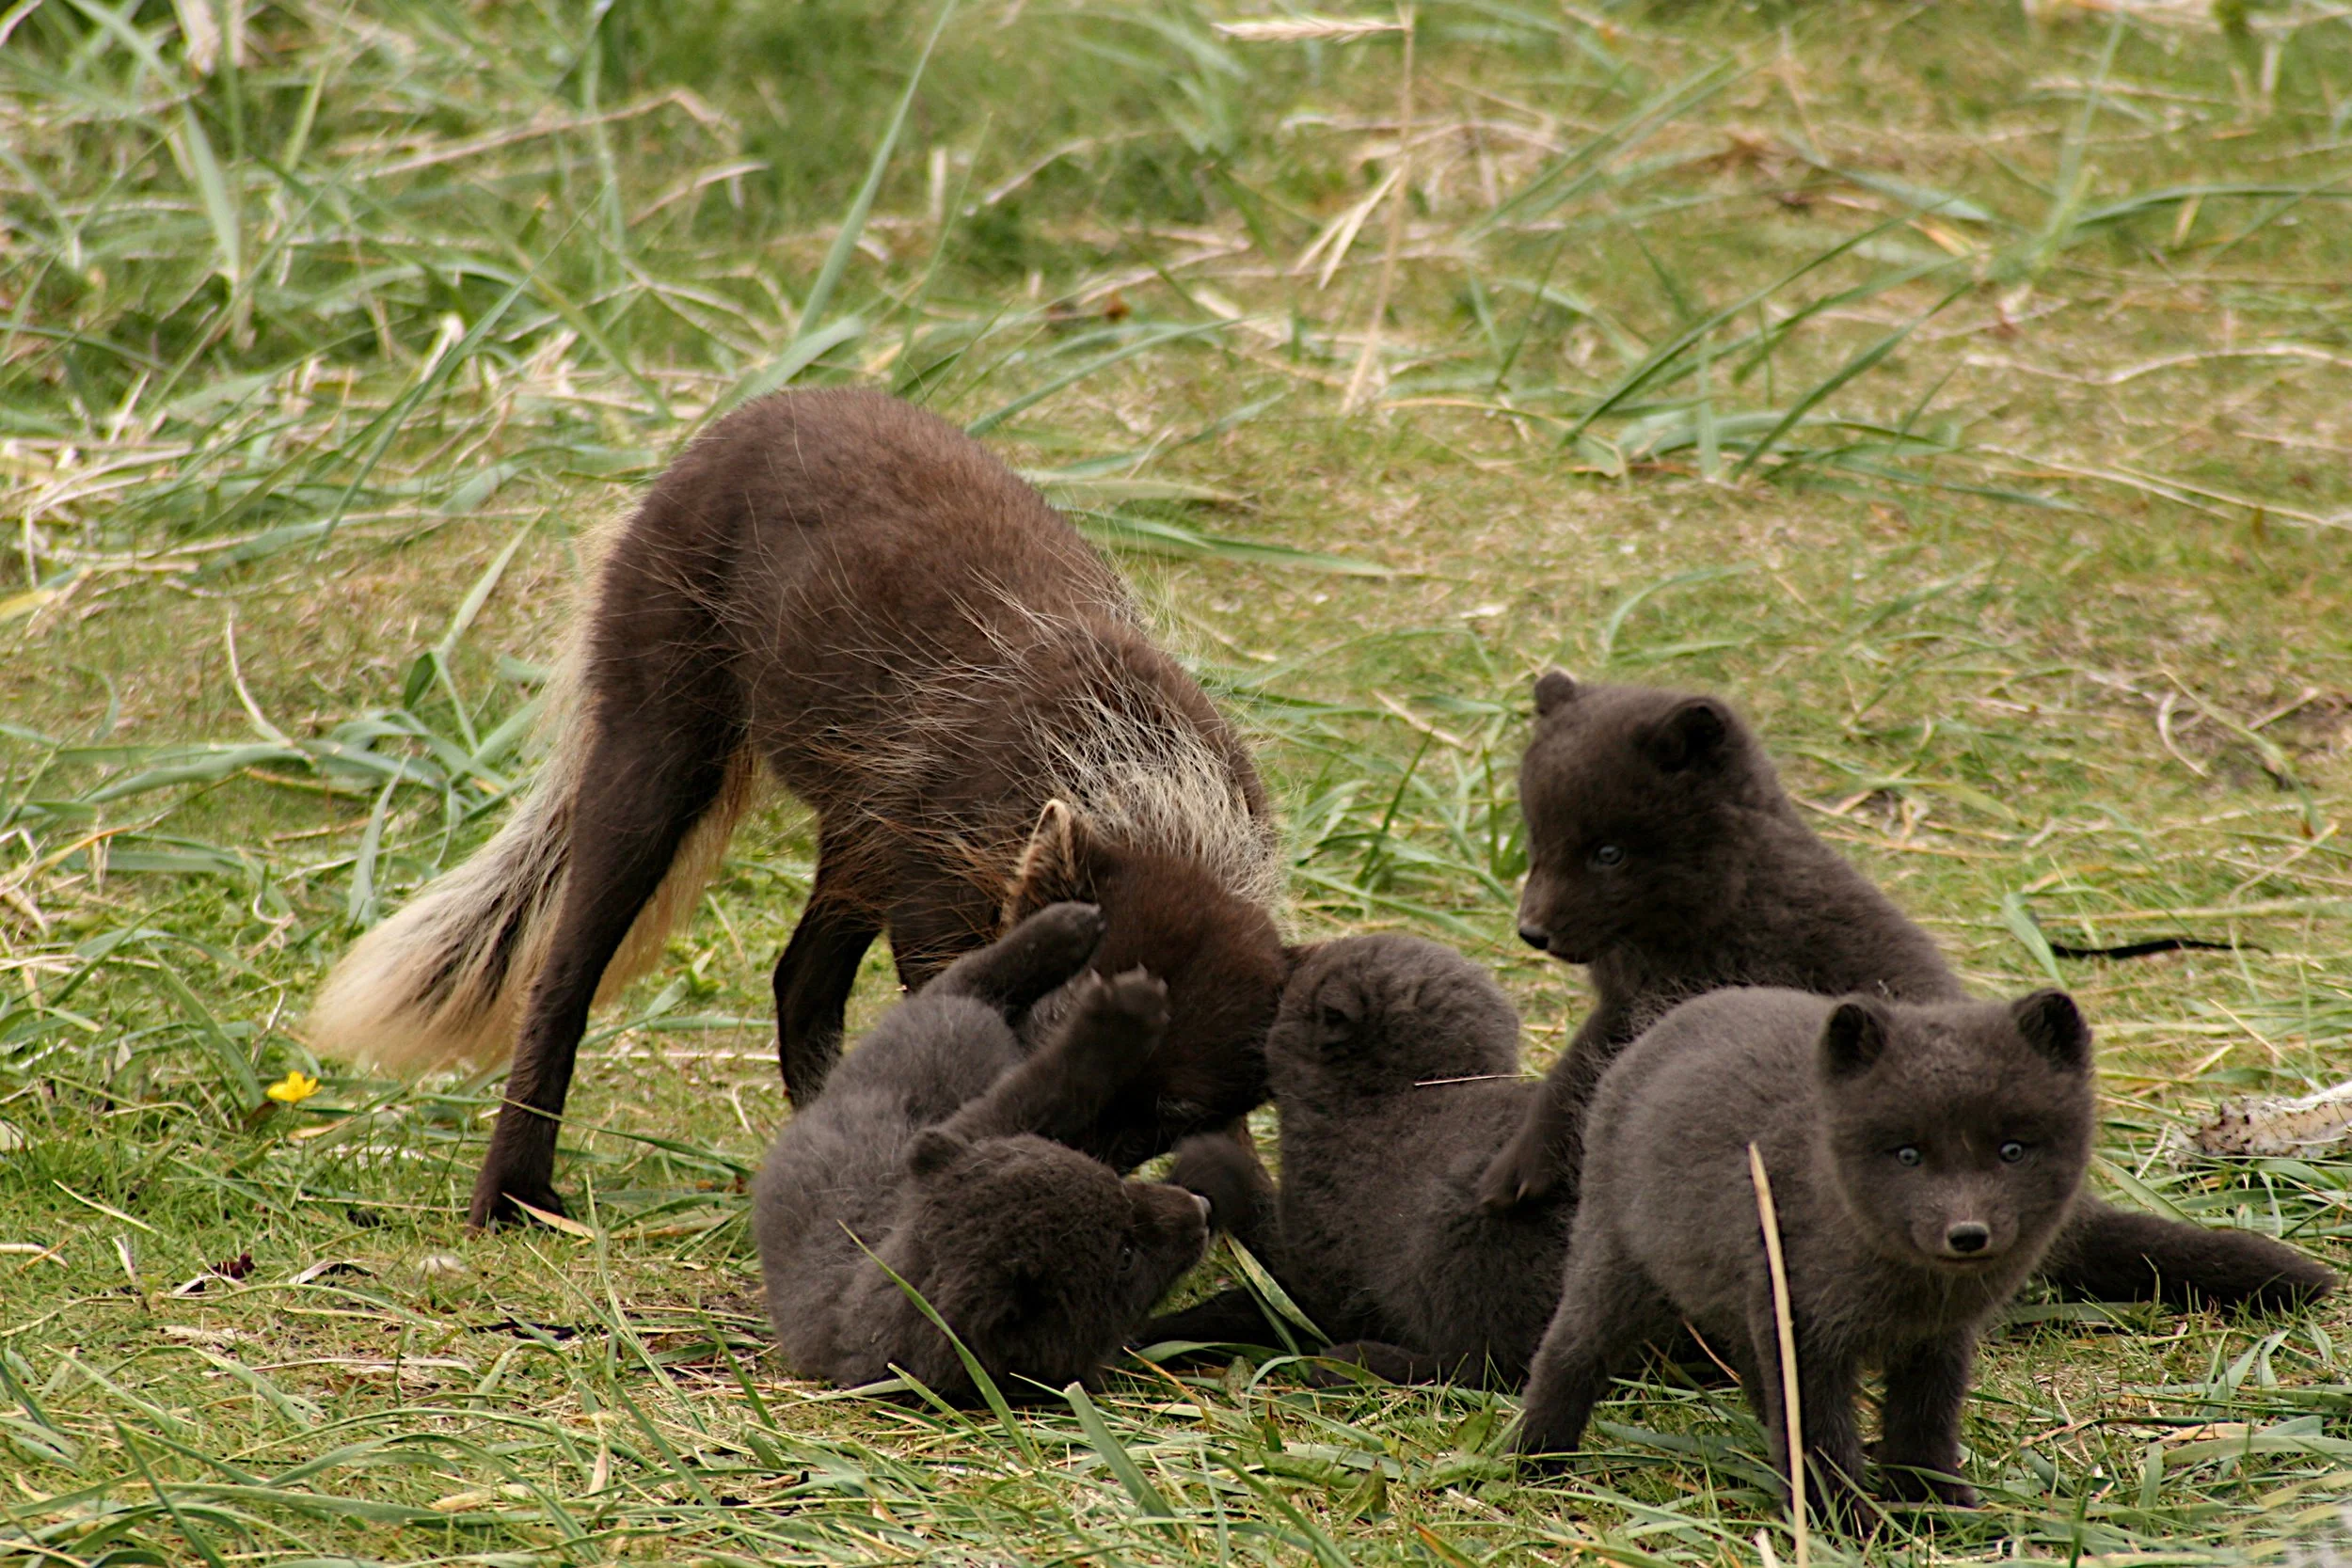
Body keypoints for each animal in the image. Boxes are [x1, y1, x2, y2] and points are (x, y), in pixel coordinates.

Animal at [1515, 985, 2097, 1527]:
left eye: (2012, 1151)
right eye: (1908, 1154)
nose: (1968, 1233)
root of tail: (1664, 1021)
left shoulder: (1937, 1338)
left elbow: (1924, 1422)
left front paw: (1933, 1506)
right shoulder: (1803, 1327)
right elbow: (1817, 1433)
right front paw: (1839, 1522)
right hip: (1617, 1267)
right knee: (1566, 1353)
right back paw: (1536, 1462)